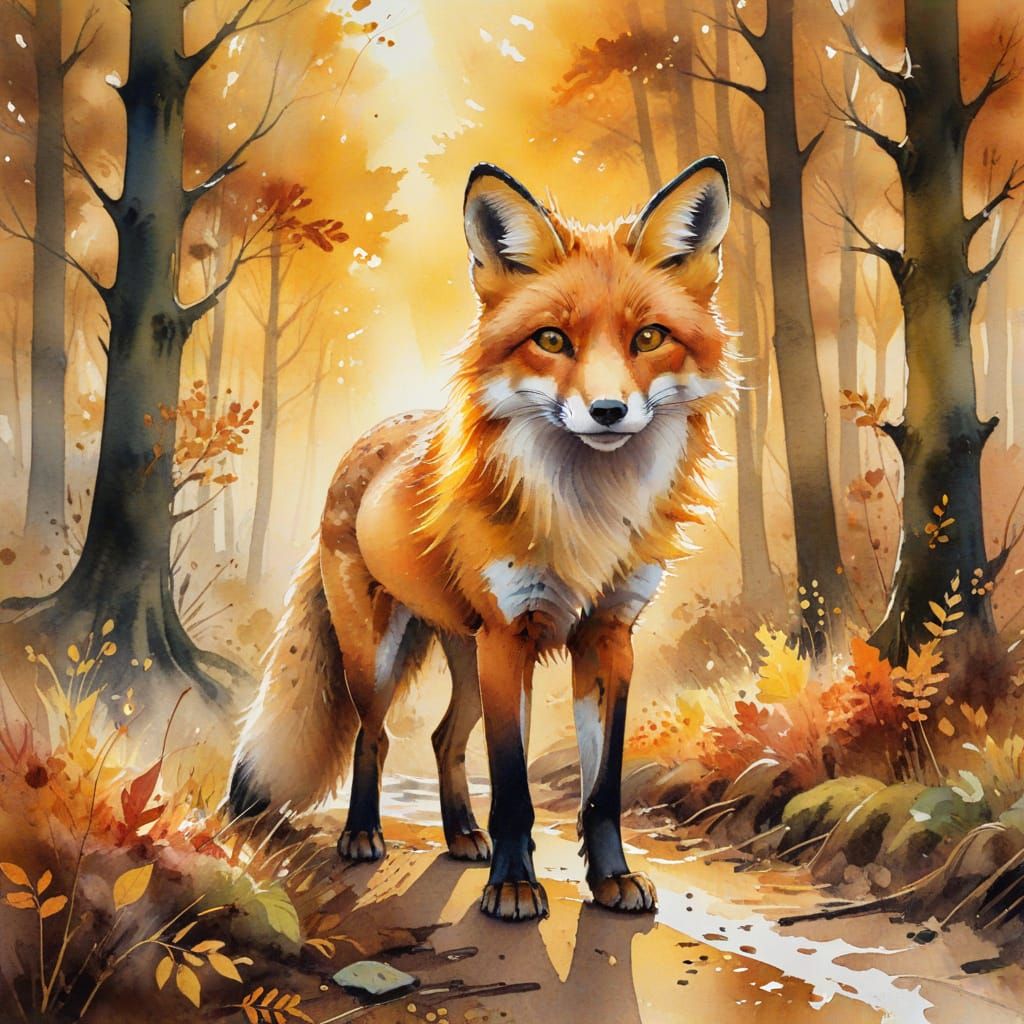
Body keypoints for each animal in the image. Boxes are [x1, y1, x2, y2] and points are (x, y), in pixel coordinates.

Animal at [229, 156, 735, 922]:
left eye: (648, 338)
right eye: (552, 340)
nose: (608, 410)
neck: (587, 516)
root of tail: (364, 446)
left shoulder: (608, 638)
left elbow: (602, 792)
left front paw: (610, 880)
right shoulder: (511, 636)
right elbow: (516, 791)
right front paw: (515, 887)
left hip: (464, 656)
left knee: (443, 737)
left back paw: (462, 835)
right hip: (380, 658)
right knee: (373, 737)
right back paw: (363, 836)